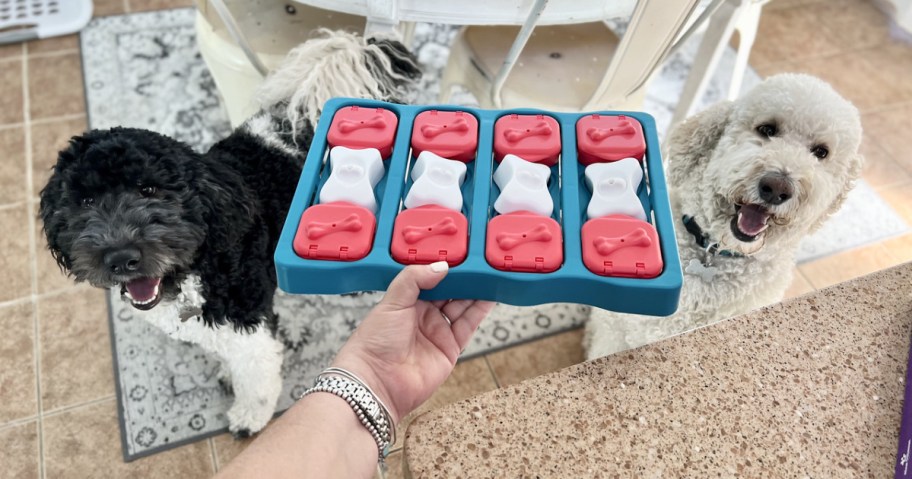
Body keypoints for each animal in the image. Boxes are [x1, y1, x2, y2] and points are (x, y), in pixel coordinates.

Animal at [37, 29, 418, 436]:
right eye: (86, 200)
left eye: (149, 189)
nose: (121, 258)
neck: (196, 268)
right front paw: (224, 372)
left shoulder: (249, 327)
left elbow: (257, 381)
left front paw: (248, 418)